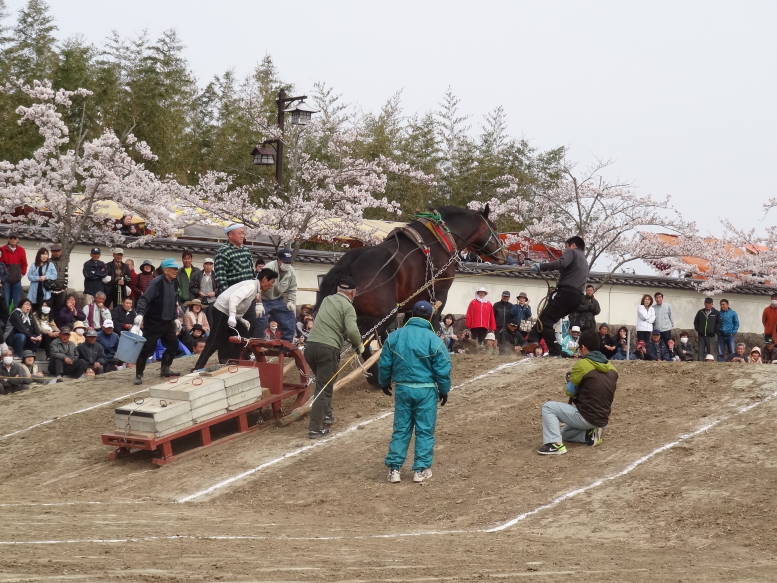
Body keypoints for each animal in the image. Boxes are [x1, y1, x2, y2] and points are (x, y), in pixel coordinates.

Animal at [316, 203, 506, 360]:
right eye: (494, 228)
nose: (503, 254)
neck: (441, 239)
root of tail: (350, 264)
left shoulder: (414, 300)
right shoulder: (439, 293)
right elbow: (435, 324)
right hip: (380, 315)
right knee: (366, 345)